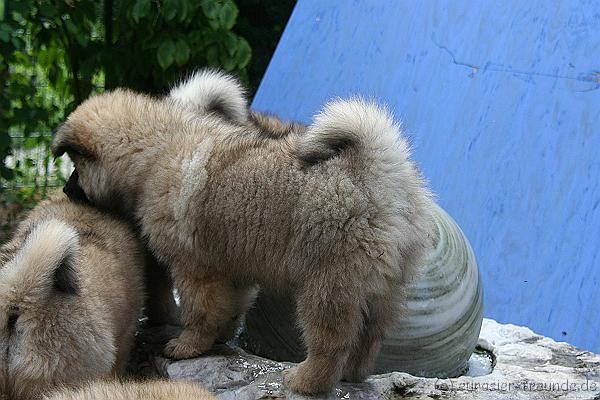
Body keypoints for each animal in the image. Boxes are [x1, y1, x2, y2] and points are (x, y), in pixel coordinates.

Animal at [51, 72, 434, 394]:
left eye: (76, 165)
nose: (67, 190)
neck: (154, 152)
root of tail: (378, 170)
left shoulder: (194, 270)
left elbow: (199, 313)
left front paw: (186, 346)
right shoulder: (233, 270)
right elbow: (229, 310)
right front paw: (218, 339)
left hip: (328, 282)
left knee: (330, 341)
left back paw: (306, 381)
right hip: (383, 287)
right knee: (370, 336)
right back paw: (353, 375)